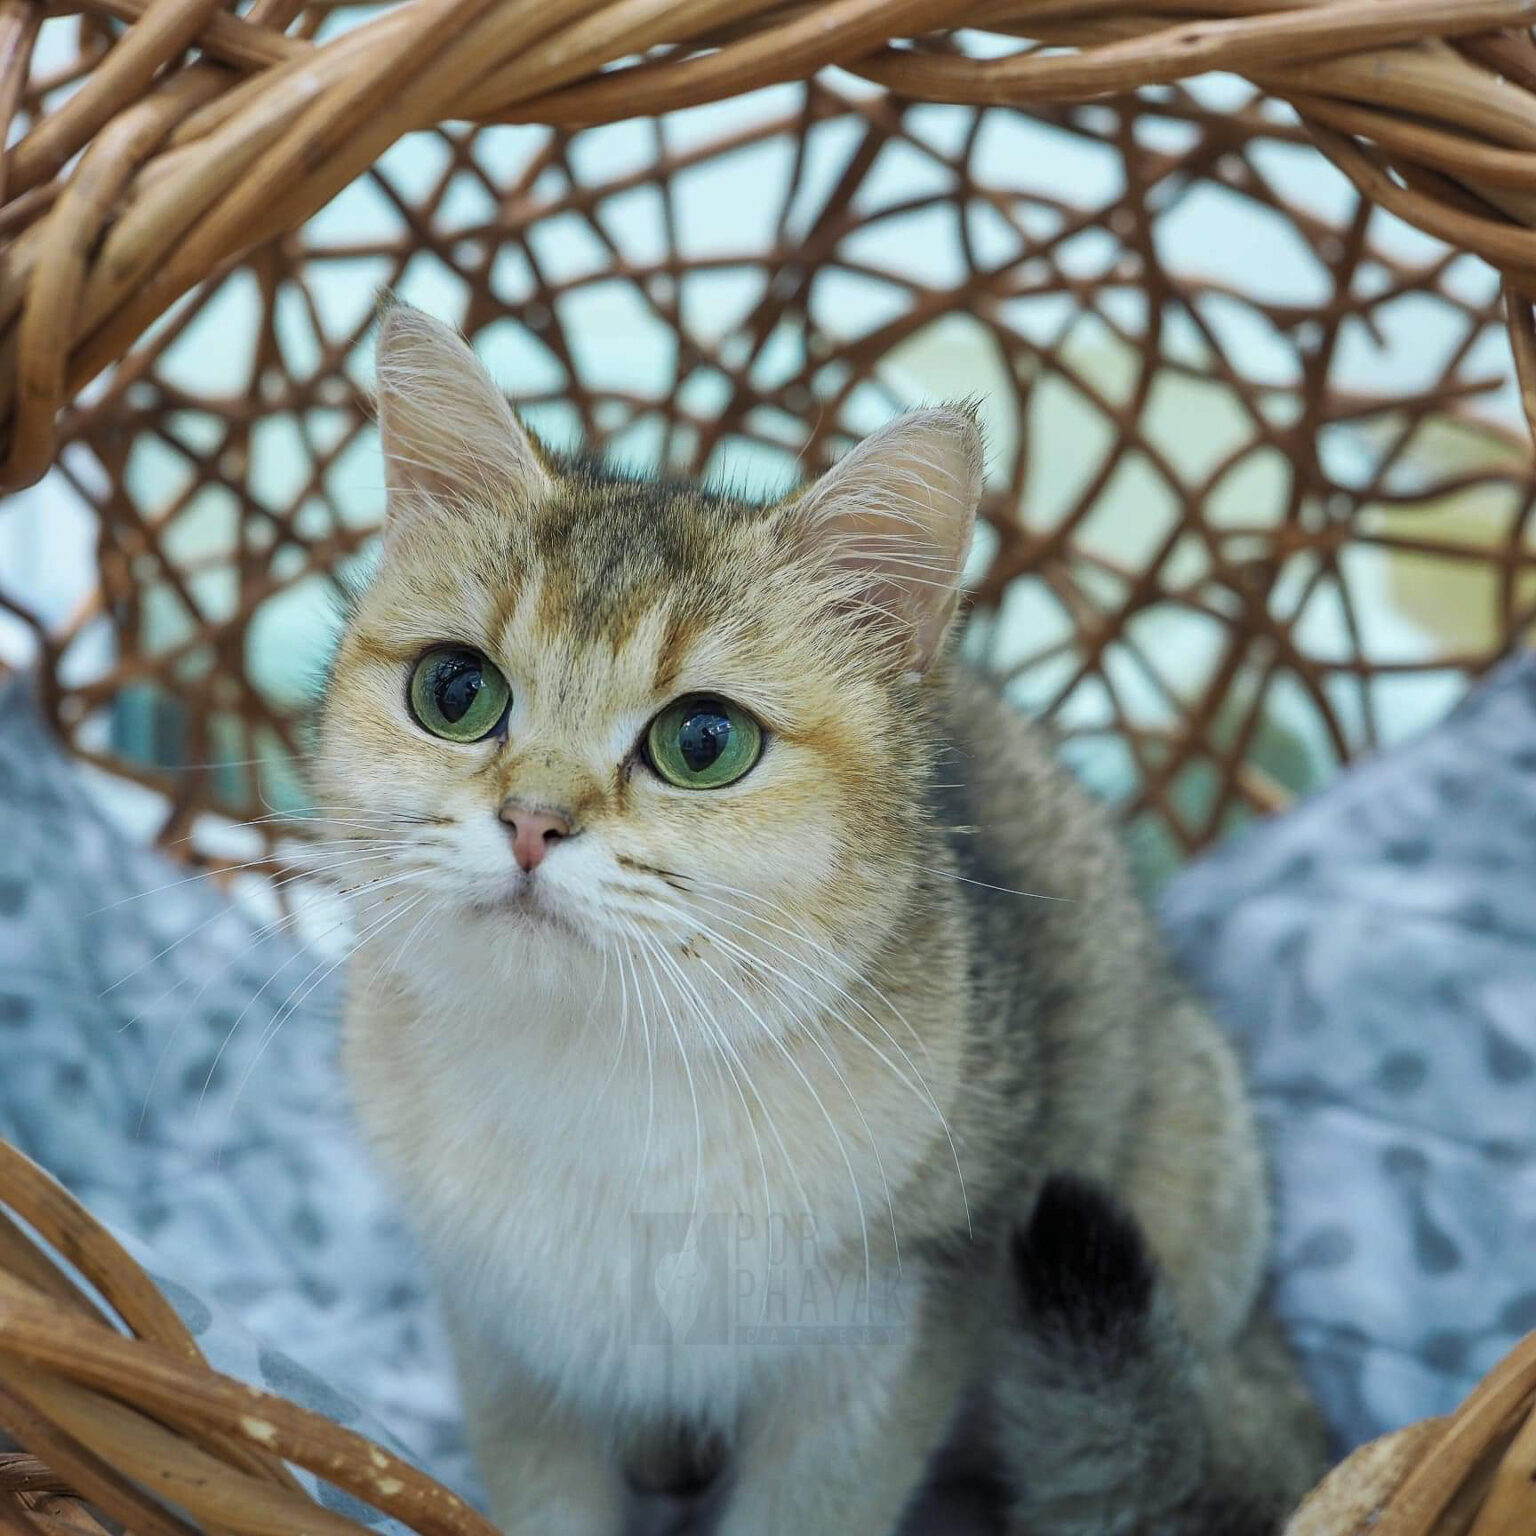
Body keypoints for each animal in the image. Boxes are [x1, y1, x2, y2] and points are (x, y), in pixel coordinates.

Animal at [321, 299, 1333, 1536]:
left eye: (703, 742)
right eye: (455, 692)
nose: (531, 822)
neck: (603, 1069)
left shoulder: (884, 1353)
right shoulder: (507, 1350)